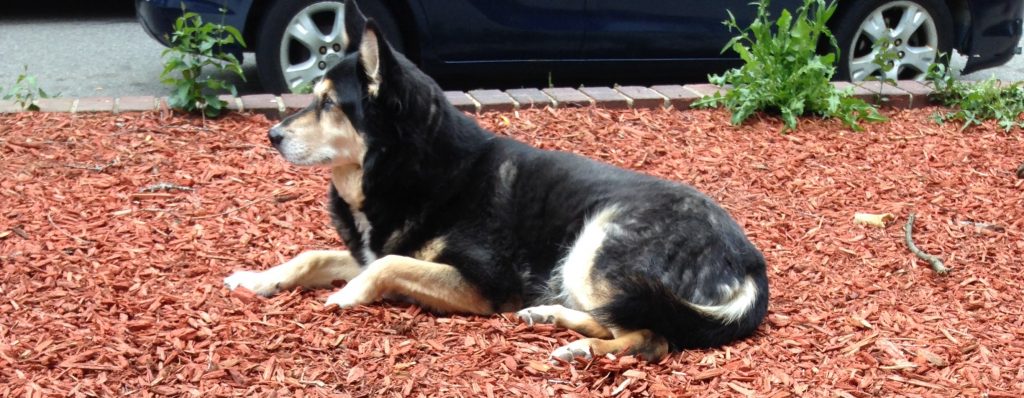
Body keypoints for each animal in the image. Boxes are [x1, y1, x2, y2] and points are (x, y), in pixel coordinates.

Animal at [226, 0, 770, 362]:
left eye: (328, 104)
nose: (272, 135)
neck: (414, 167)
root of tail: (748, 259)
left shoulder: (480, 283)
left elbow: (386, 266)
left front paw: (348, 294)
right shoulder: (370, 247)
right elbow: (315, 256)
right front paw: (257, 278)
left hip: (596, 247)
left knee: (652, 337)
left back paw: (582, 347)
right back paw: (552, 317)